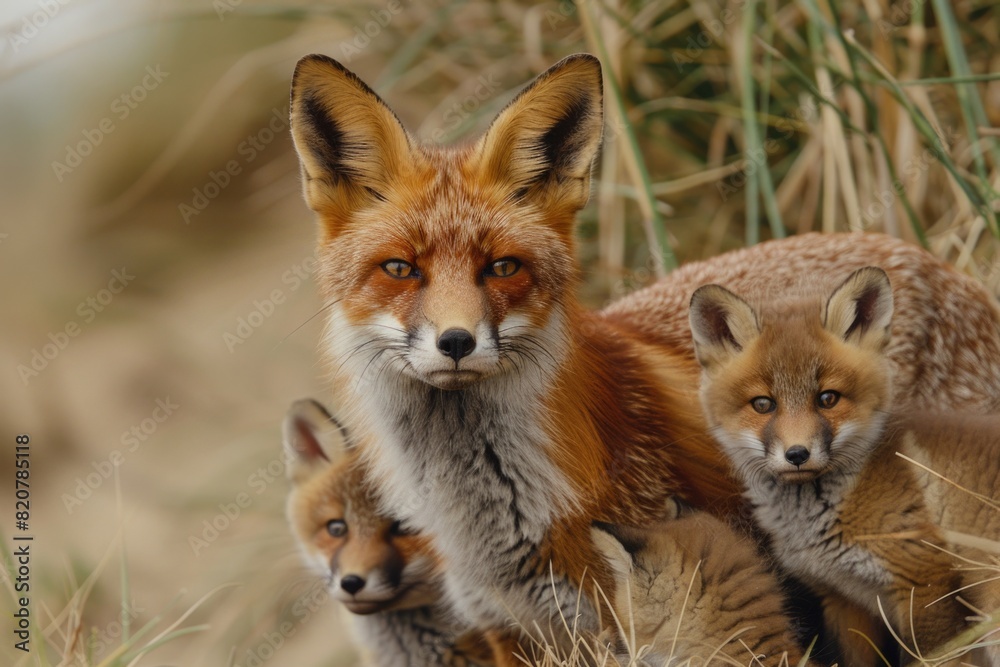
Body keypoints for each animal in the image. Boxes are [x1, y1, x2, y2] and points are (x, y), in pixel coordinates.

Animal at [288, 53, 1000, 664]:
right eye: (400, 269)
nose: (457, 342)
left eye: (504, 268)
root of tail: (940, 263)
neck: (488, 526)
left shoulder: (628, 605)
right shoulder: (506, 631)